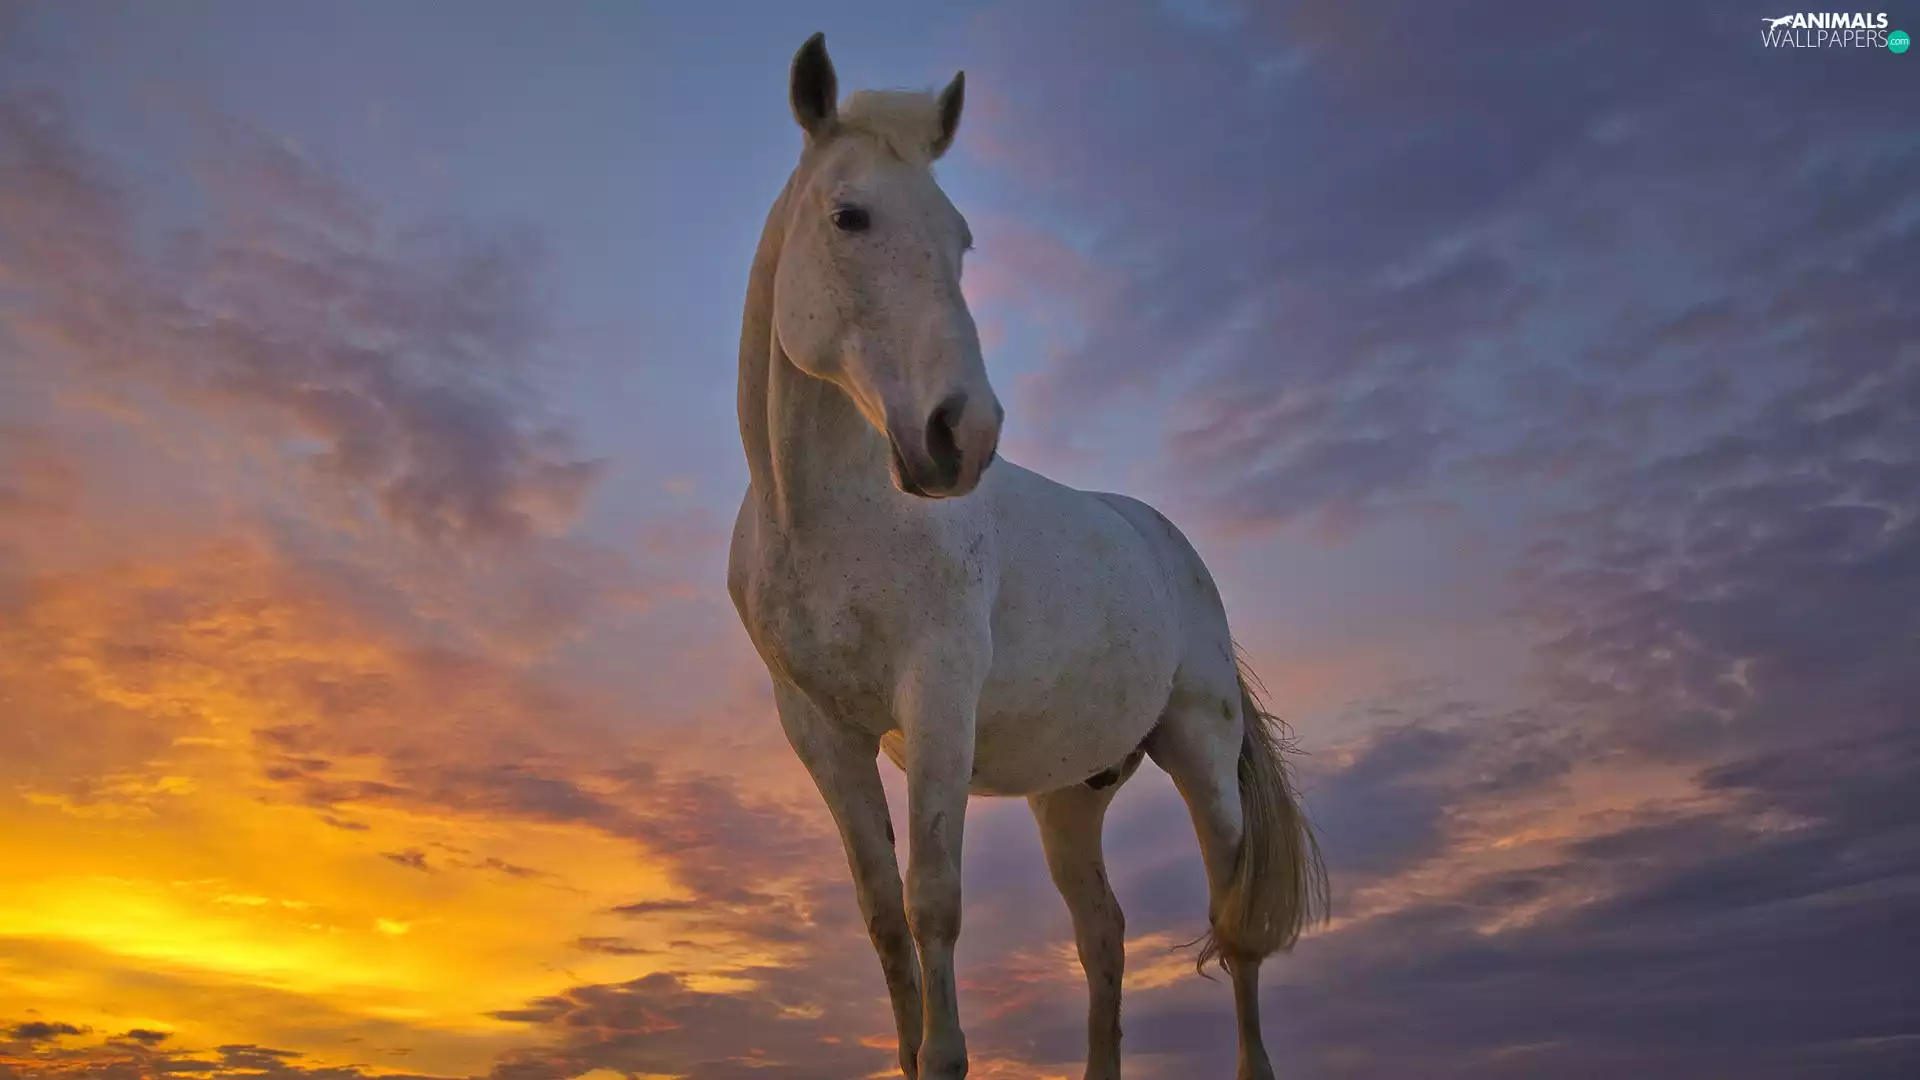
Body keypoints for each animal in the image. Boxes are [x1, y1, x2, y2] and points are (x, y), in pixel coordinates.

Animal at [727, 33, 1328, 1080]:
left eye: (962, 239)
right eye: (849, 215)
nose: (960, 435)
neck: (825, 520)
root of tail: (1166, 542)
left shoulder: (937, 701)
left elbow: (933, 901)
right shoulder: (819, 733)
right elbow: (884, 916)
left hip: (1202, 754)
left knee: (1234, 925)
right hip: (1067, 797)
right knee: (1104, 933)